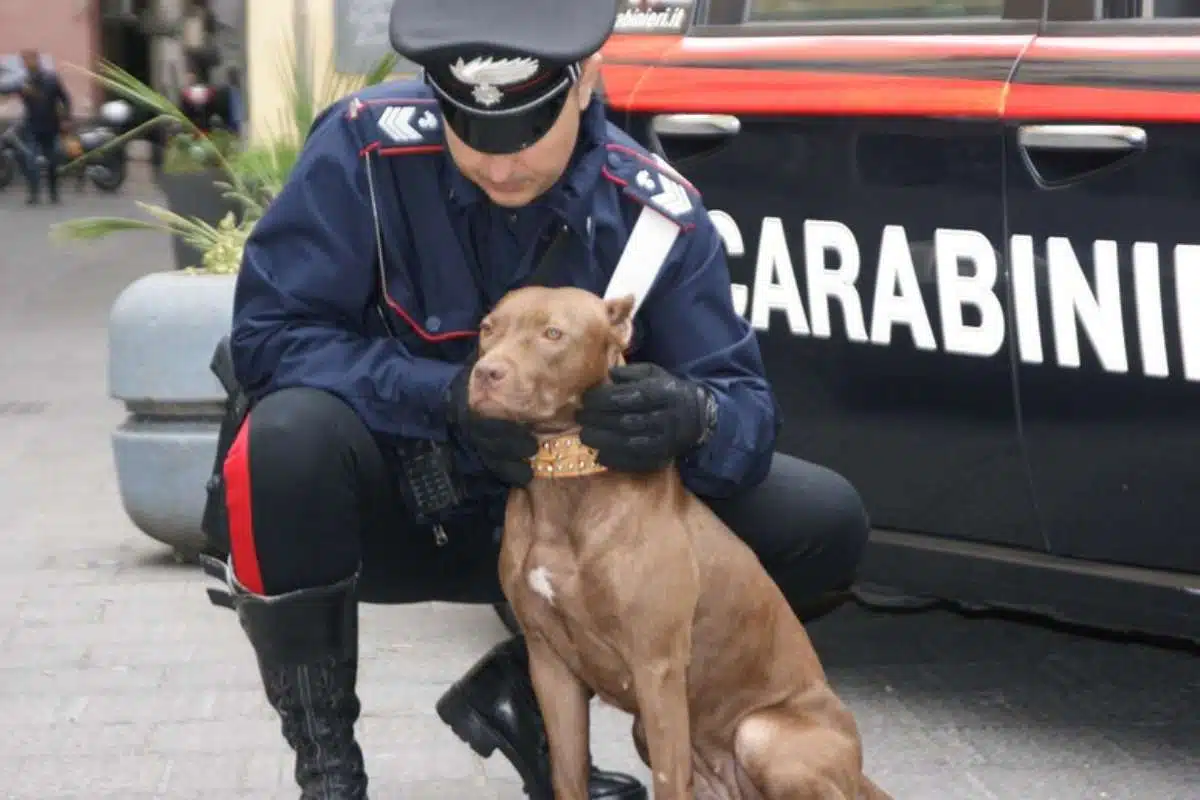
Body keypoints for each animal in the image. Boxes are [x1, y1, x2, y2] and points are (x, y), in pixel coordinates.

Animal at [468, 287, 892, 800]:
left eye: (553, 333)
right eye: (487, 329)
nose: (486, 372)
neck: (565, 481)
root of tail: (860, 770)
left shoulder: (658, 670)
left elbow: (668, 781)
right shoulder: (550, 664)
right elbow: (568, 773)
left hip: (760, 734)